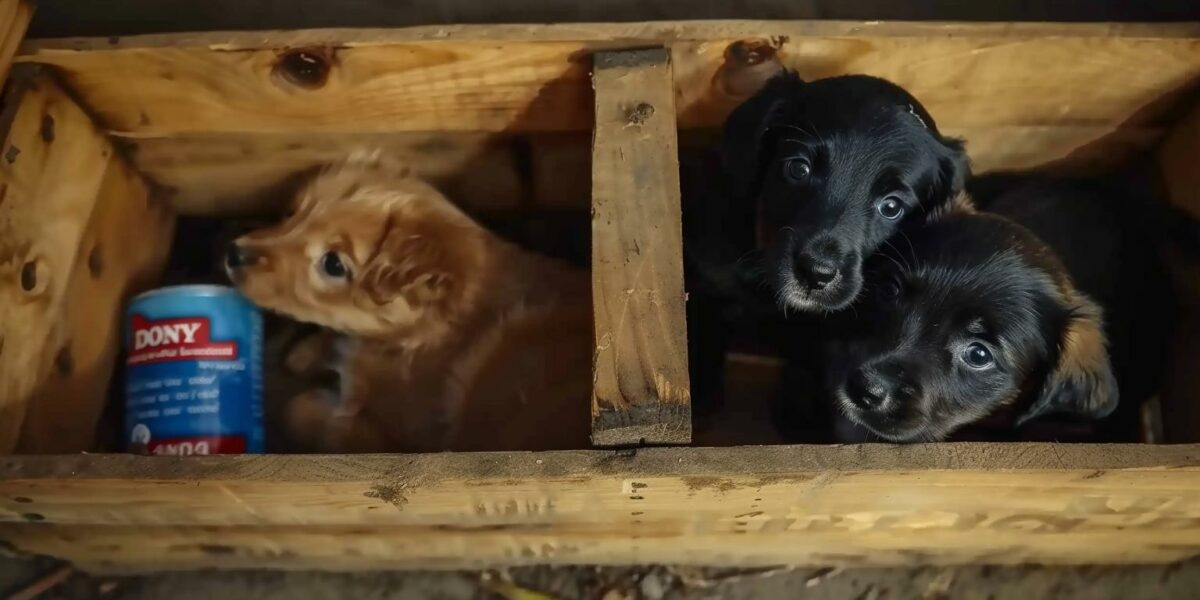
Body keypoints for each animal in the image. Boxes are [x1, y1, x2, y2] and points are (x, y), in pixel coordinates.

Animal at [225, 152, 590, 451]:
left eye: (333, 264)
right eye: (292, 213)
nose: (233, 253)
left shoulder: (383, 432)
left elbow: (303, 412)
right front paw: (309, 351)